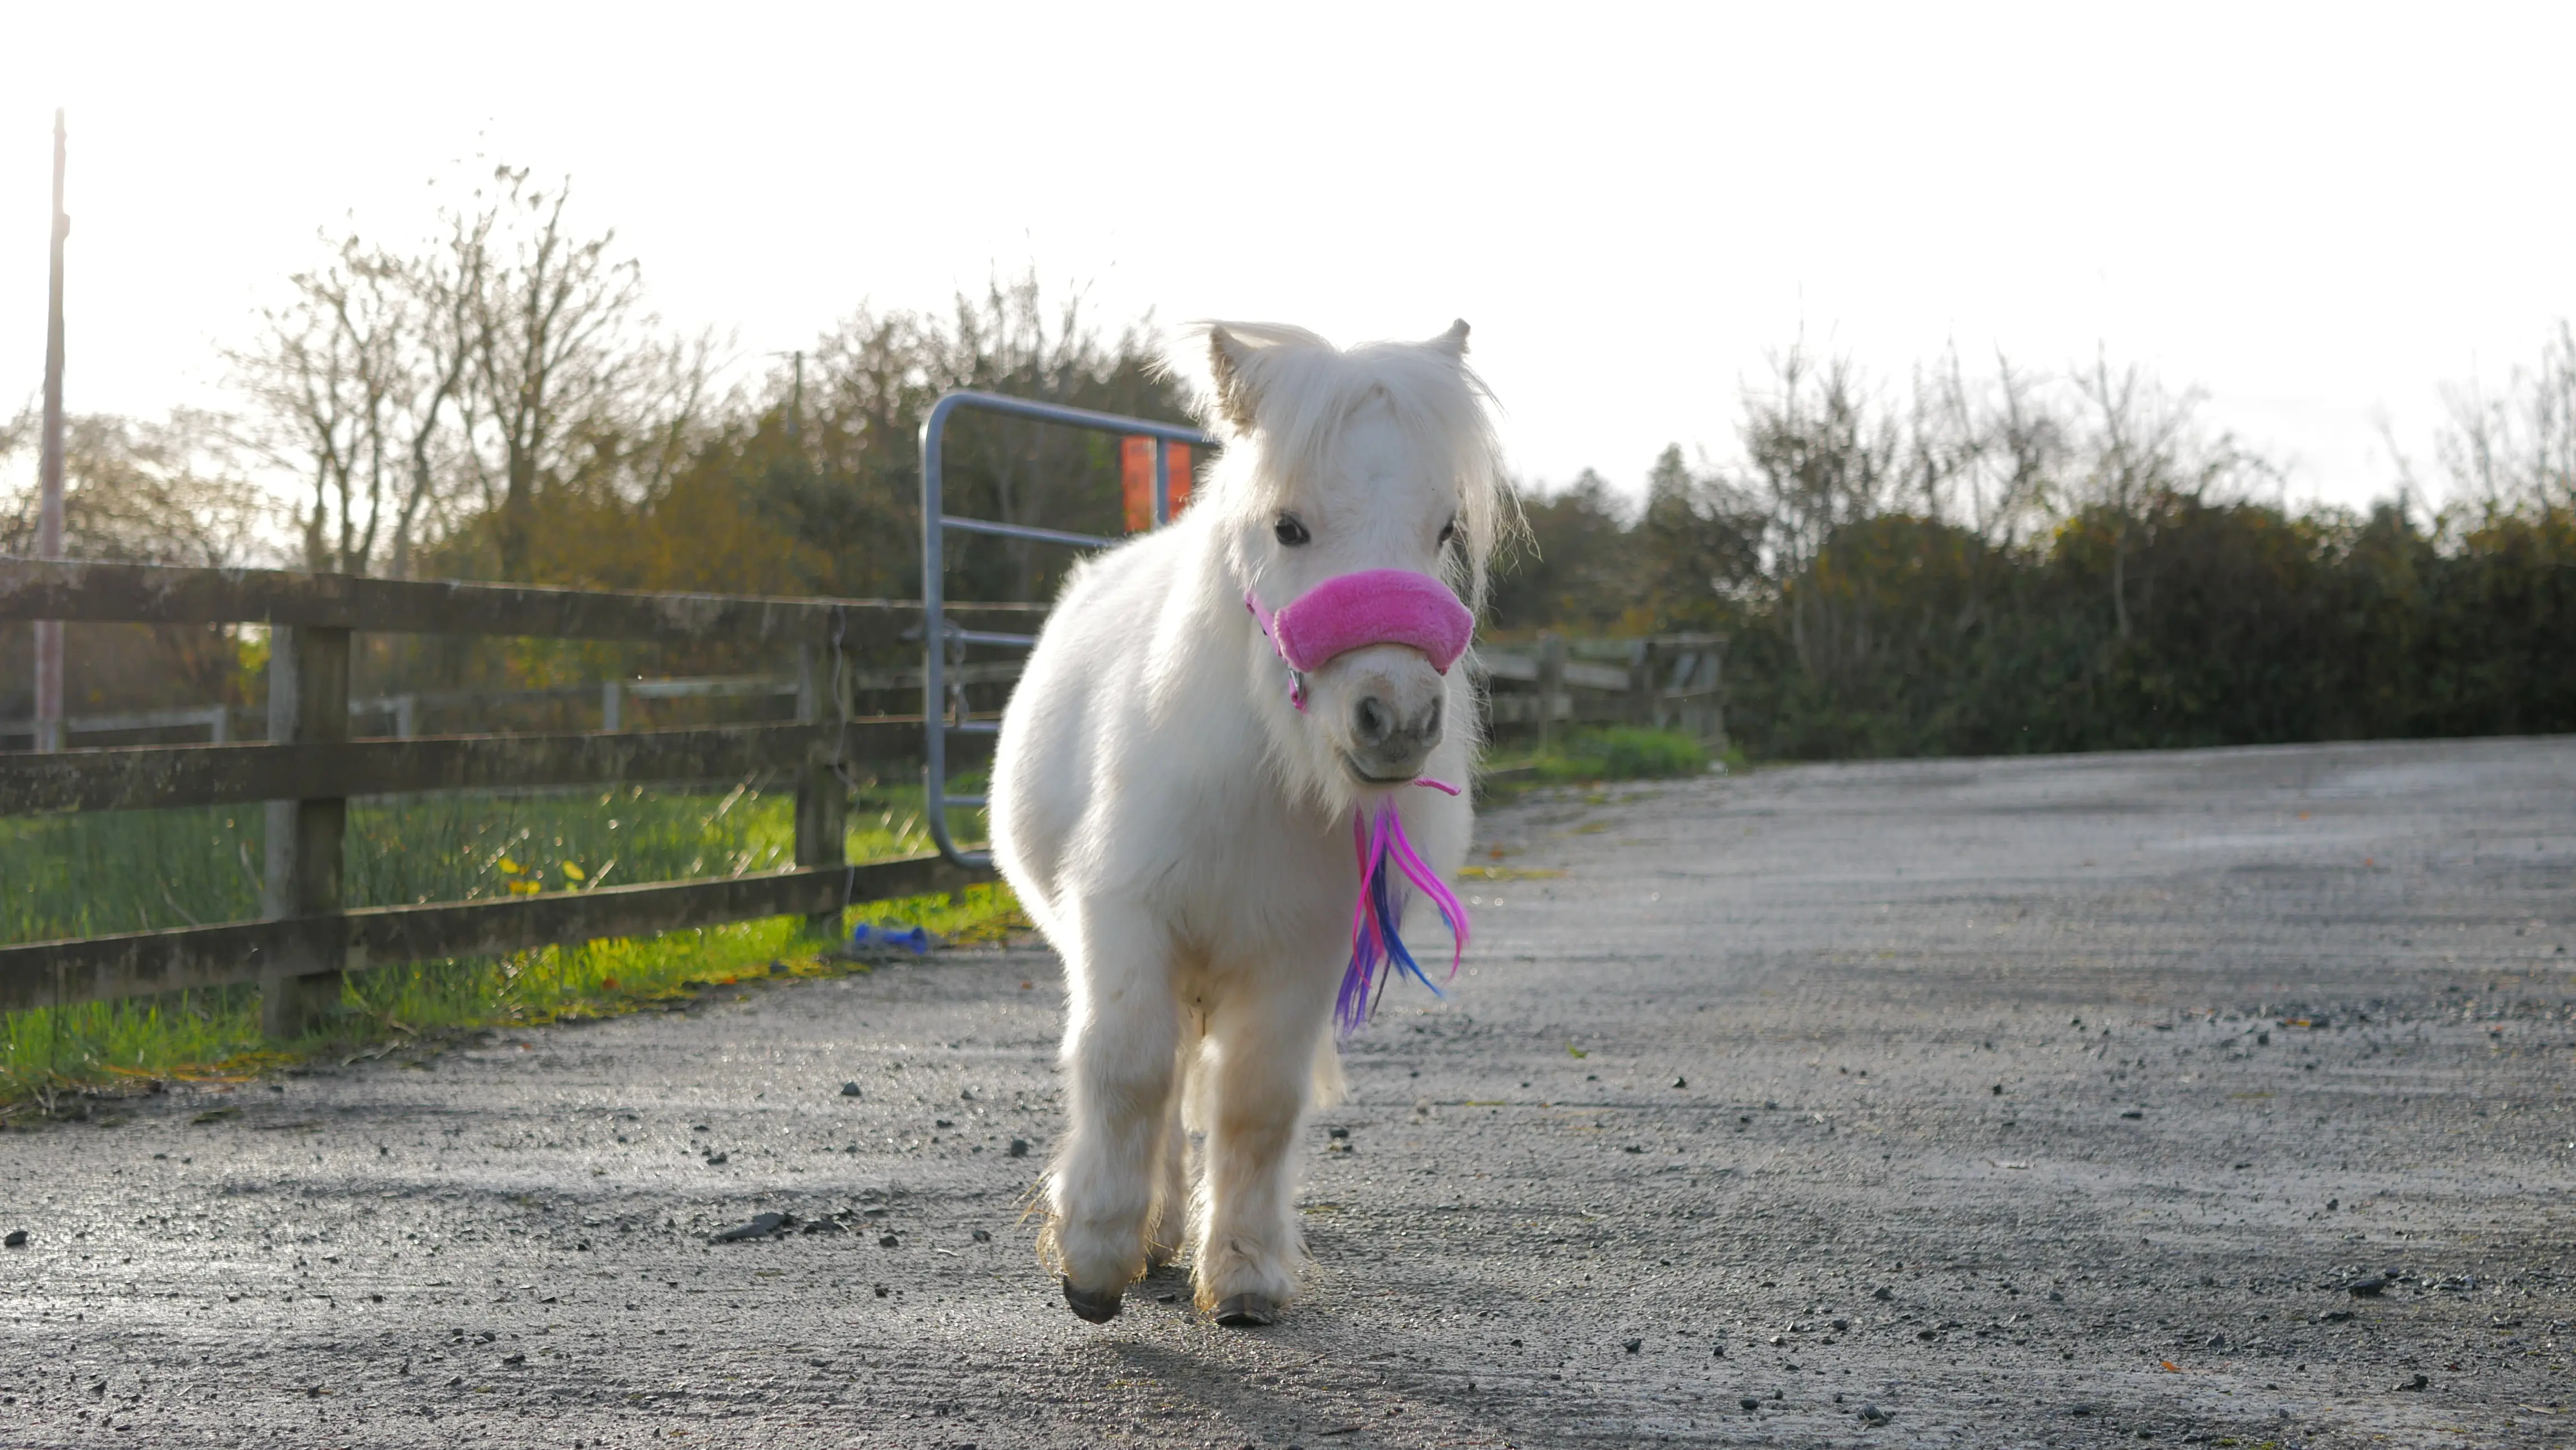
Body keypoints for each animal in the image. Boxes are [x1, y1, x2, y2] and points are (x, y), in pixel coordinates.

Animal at [989, 319, 1511, 1326]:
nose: (1396, 719)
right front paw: (1094, 1257)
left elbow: (1255, 1103)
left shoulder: (1297, 956)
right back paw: (1146, 1234)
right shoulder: (1127, 922)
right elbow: (1126, 1070)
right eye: (1289, 526)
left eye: (1443, 529)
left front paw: (1241, 1272)